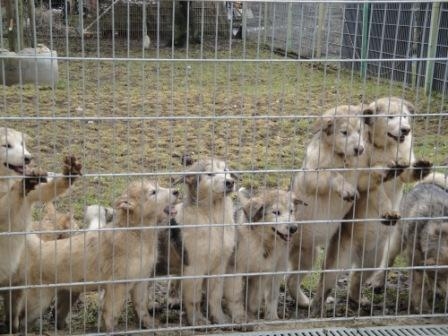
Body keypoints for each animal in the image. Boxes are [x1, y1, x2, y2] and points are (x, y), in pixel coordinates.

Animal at [9, 180, 178, 332]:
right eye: (153, 192)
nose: (176, 191)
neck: (138, 235)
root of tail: (39, 247)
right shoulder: (117, 285)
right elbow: (111, 314)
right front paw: (110, 331)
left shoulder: (141, 281)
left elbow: (142, 308)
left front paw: (151, 325)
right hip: (39, 300)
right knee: (23, 320)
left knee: (56, 313)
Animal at [176, 158, 238, 326]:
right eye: (209, 174)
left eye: (226, 171)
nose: (230, 182)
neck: (213, 219)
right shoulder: (194, 267)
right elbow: (194, 299)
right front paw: (197, 320)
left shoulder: (220, 266)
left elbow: (215, 295)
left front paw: (220, 318)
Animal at [226, 188, 302, 322]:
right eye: (276, 212)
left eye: (291, 211)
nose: (294, 228)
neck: (263, 242)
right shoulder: (235, 270)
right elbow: (236, 296)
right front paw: (240, 317)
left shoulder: (264, 273)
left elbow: (258, 299)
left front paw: (269, 317)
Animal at [286, 105, 366, 308]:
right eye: (344, 132)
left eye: (360, 130)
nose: (360, 149)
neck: (341, 157)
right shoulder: (312, 175)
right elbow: (333, 174)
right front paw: (346, 188)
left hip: (308, 256)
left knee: (290, 280)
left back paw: (305, 302)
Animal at [310, 96, 432, 316]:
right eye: (390, 116)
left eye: (405, 116)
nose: (406, 130)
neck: (387, 148)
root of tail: (358, 252)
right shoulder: (368, 183)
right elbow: (381, 195)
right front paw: (389, 212)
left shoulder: (404, 166)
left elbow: (408, 171)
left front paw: (422, 167)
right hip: (336, 263)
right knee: (324, 285)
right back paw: (316, 309)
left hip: (373, 261)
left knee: (356, 279)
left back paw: (358, 300)